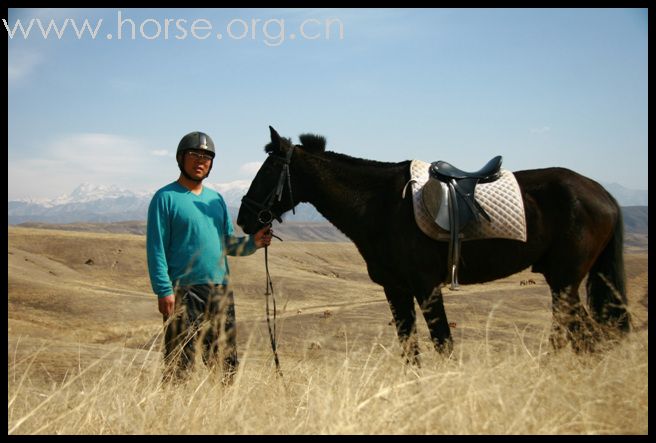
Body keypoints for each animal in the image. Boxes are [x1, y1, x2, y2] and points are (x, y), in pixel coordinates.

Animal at [236, 126, 632, 362]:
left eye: (268, 170)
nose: (243, 218)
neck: (379, 204)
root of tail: (602, 194)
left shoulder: (426, 286)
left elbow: (442, 343)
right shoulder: (396, 289)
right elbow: (410, 348)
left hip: (564, 281)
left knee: (580, 335)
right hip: (562, 280)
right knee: (583, 335)